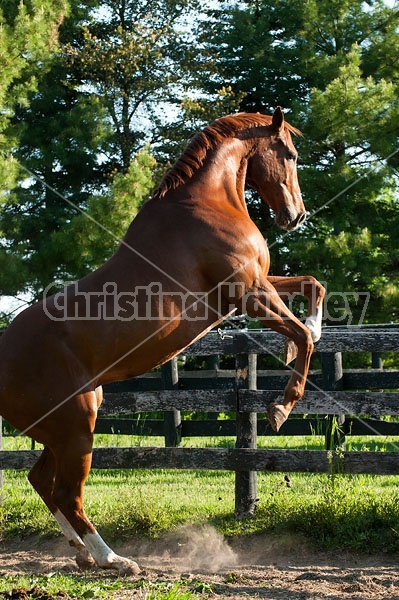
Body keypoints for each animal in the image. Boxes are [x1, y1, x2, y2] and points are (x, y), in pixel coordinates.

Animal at [0, 109, 324, 576]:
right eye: (292, 154)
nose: (295, 216)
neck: (207, 204)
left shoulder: (260, 282)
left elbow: (313, 286)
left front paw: (314, 330)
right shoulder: (249, 291)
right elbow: (298, 334)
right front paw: (281, 407)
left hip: (61, 429)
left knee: (41, 481)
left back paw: (83, 553)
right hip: (76, 427)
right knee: (66, 493)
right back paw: (114, 559)